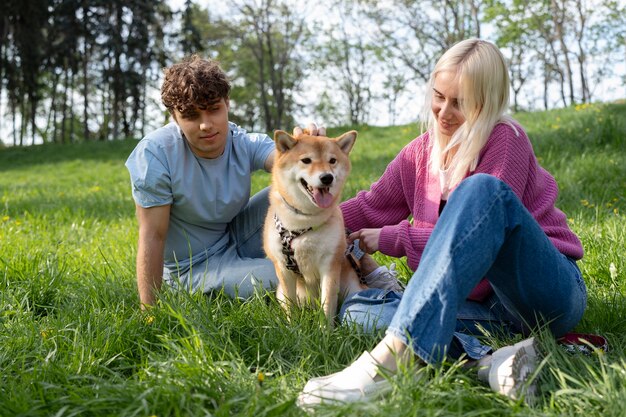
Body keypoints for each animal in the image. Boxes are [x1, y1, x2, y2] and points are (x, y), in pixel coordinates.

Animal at [262, 130, 360, 324]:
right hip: (280, 292)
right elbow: (290, 305)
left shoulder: (330, 264)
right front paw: (292, 327)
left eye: (332, 160)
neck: (303, 223)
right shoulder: (283, 268)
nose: (327, 177)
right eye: (306, 160)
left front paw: (326, 330)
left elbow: (327, 304)